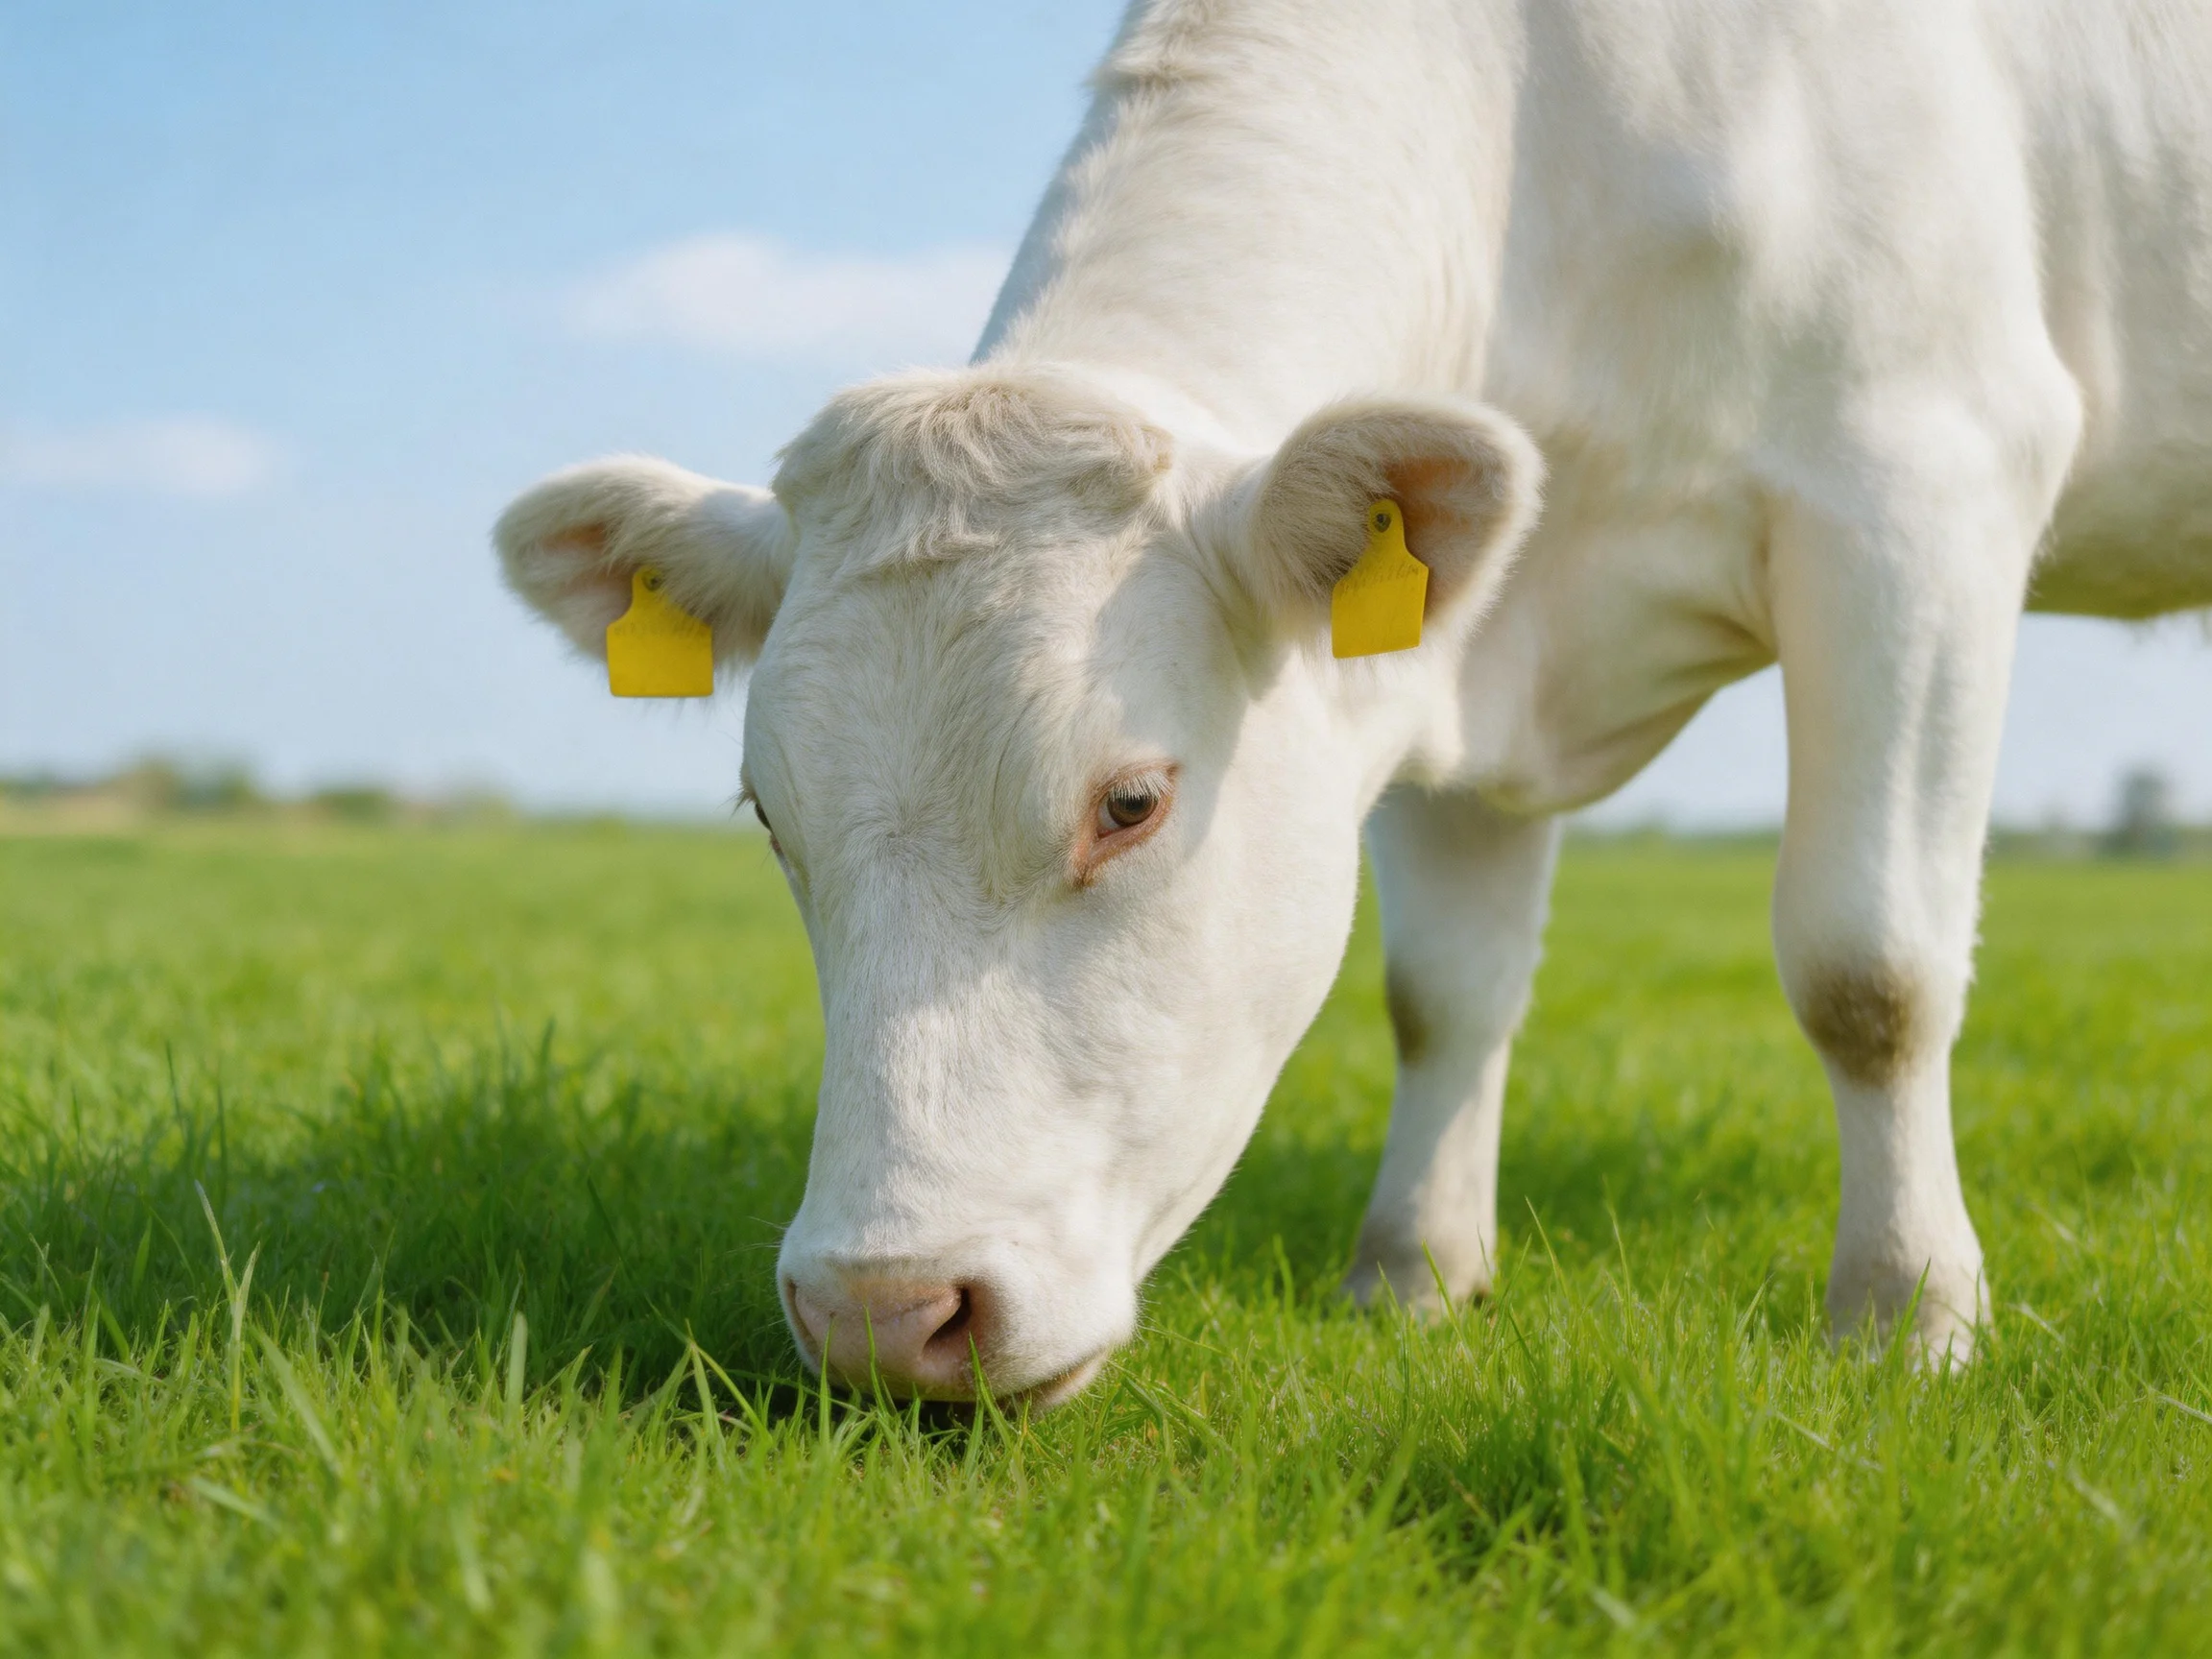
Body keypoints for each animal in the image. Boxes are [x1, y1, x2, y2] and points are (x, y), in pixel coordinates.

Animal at [496, 0, 2212, 1407]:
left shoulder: (1918, 484)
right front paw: (1413, 1278)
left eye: (1132, 803)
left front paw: (1907, 1316)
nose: (883, 1308)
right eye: (770, 818)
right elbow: (1447, 991)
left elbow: (1873, 969)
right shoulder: (1453, 650)